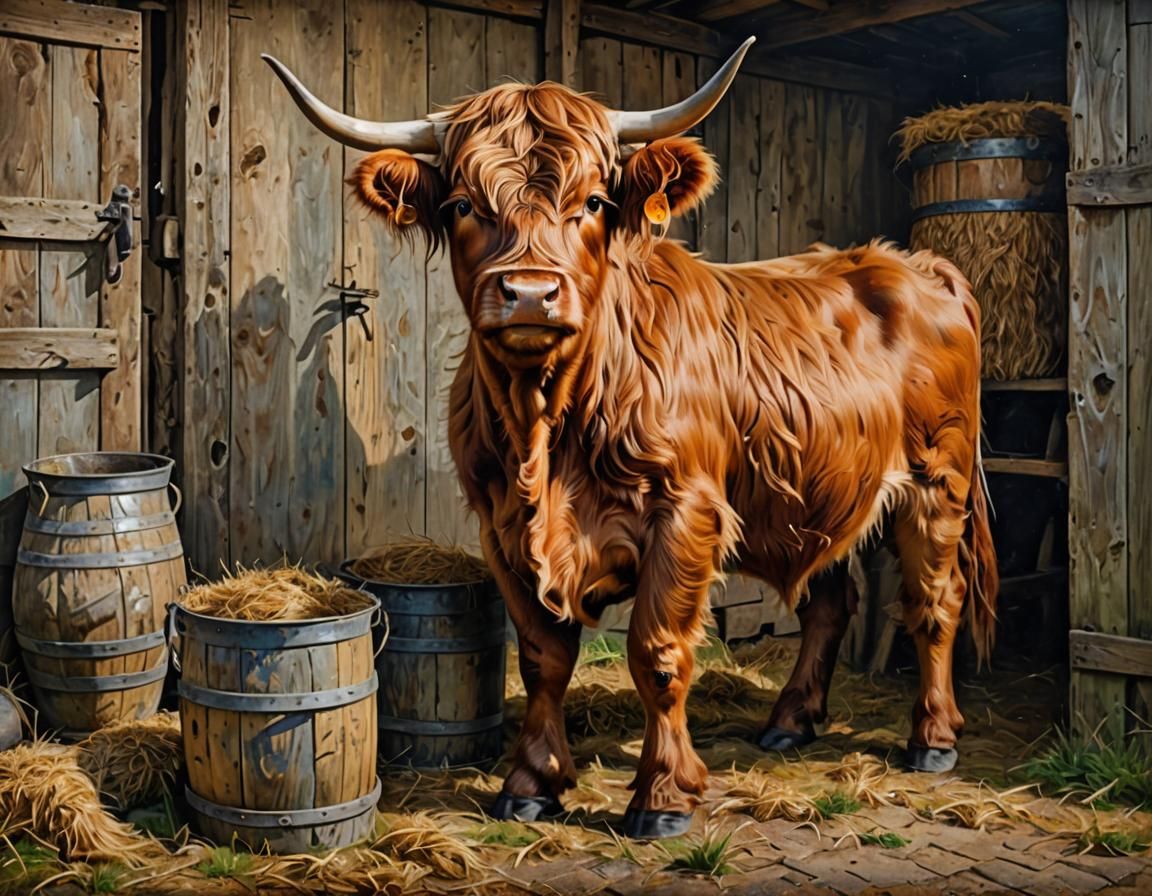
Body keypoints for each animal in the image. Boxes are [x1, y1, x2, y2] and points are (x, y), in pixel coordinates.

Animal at [265, 37, 998, 839]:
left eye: (592, 202)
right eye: (461, 204)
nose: (529, 293)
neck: (549, 429)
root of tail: (914, 262)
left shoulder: (686, 513)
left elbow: (659, 654)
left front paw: (663, 797)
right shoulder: (500, 528)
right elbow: (542, 658)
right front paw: (530, 784)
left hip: (937, 480)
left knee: (934, 599)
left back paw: (933, 737)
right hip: (814, 490)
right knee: (830, 599)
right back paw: (788, 722)